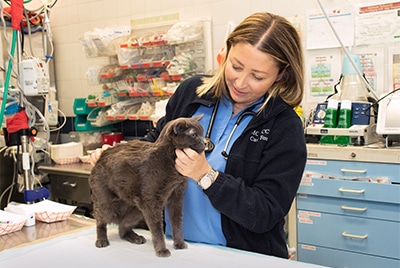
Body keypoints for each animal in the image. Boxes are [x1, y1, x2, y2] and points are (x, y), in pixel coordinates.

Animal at [88, 116, 206, 256]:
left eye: (202, 133)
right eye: (194, 135)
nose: (205, 142)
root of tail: (102, 155)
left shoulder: (176, 197)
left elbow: (177, 222)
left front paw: (179, 243)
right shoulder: (151, 202)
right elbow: (157, 228)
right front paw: (161, 250)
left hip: (138, 209)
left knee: (122, 226)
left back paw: (135, 237)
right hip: (108, 204)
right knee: (100, 219)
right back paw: (101, 240)